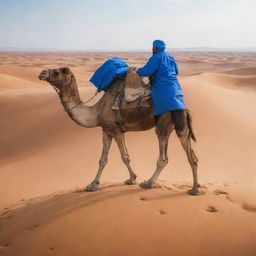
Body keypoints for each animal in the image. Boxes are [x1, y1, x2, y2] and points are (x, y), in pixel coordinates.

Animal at [38, 67, 200, 195]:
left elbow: (124, 156)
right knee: (192, 156)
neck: (96, 112)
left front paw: (132, 179)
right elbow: (102, 160)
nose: (42, 73)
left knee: (163, 156)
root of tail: (185, 107)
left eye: (57, 71)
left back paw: (148, 183)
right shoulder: (106, 130)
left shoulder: (116, 130)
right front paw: (93, 185)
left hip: (164, 122)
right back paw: (195, 188)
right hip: (181, 125)